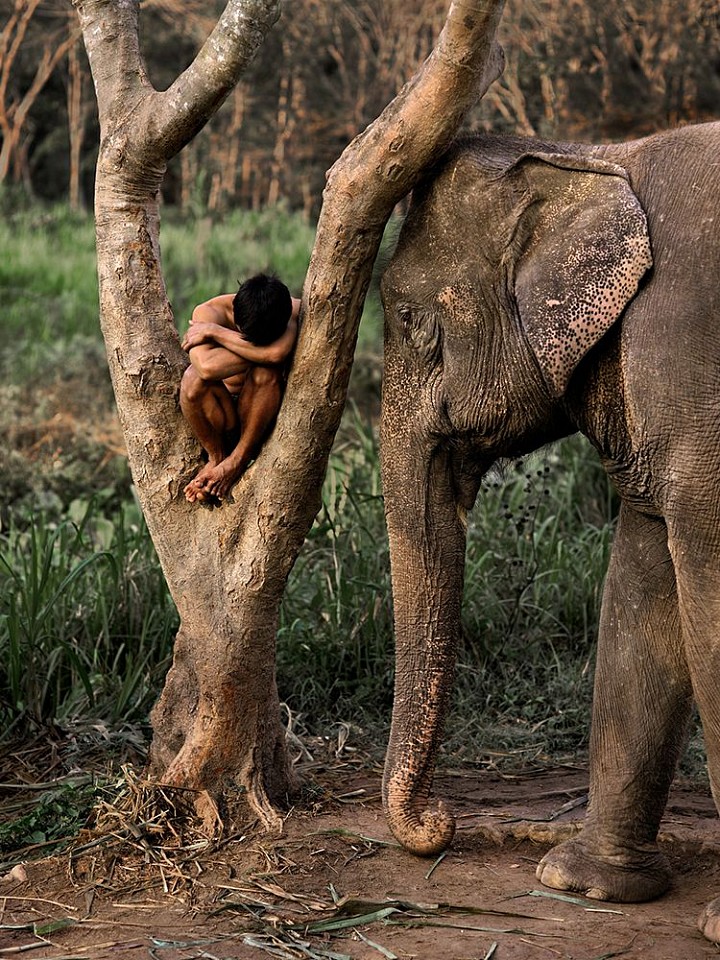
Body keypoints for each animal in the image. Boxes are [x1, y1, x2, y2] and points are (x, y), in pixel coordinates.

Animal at [376, 118, 720, 936]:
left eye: (408, 319)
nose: (441, 822)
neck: (599, 158)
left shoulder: (687, 362)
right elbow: (640, 592)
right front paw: (582, 884)